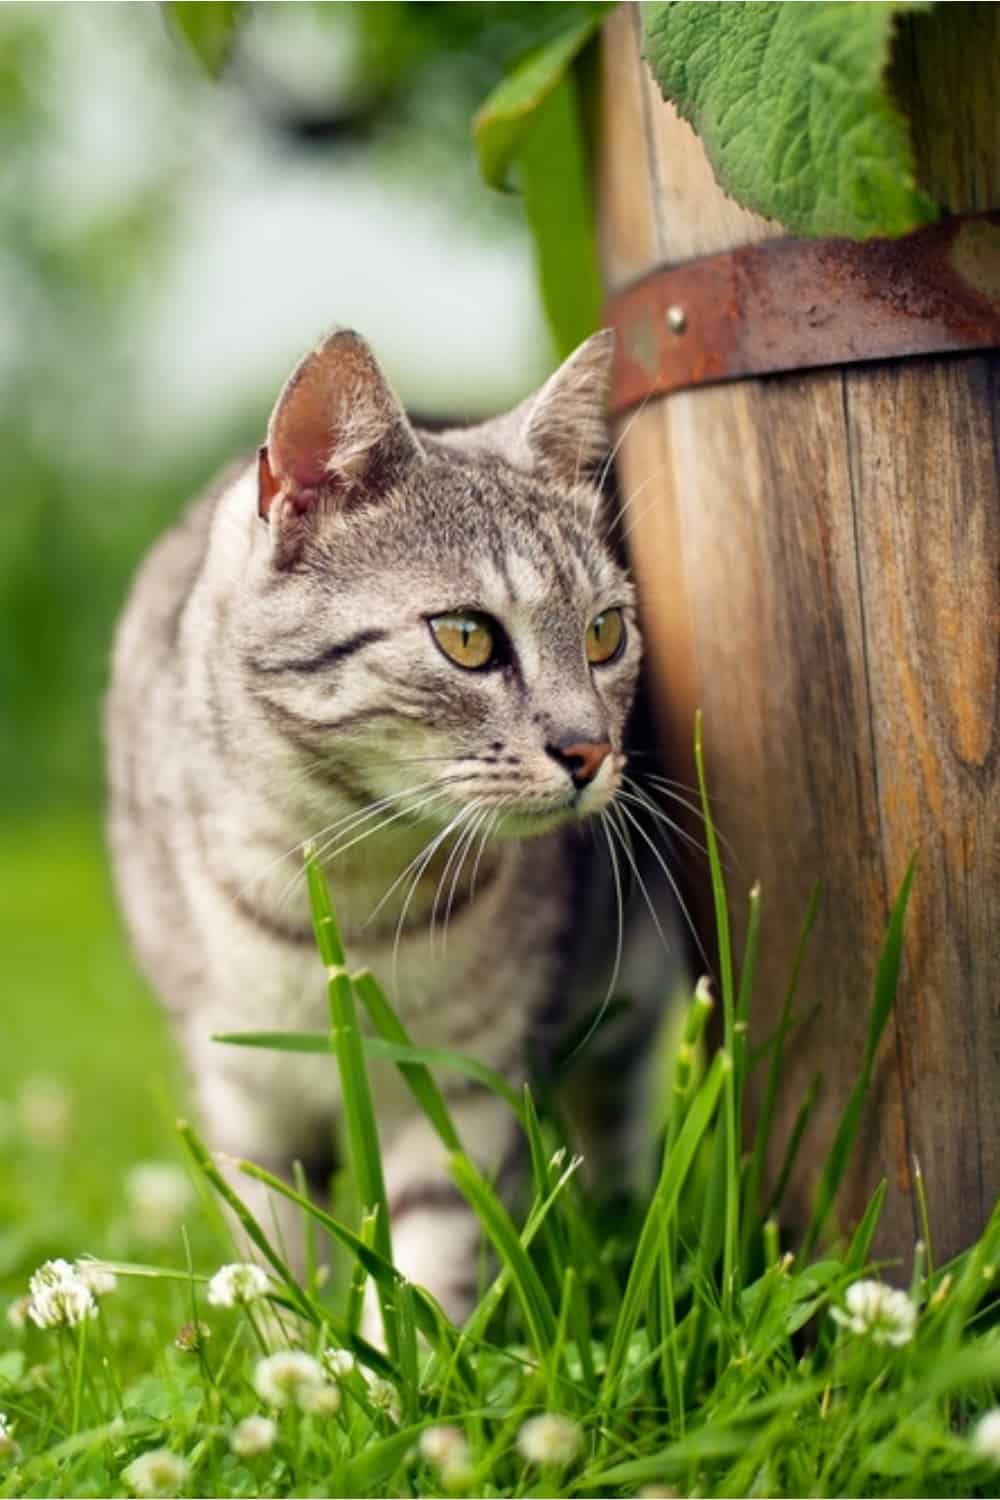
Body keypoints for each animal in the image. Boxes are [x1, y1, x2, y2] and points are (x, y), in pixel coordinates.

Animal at [107, 325, 671, 1338]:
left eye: (605, 634)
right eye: (469, 637)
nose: (592, 750)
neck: (351, 875)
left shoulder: (466, 1078)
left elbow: (432, 1243)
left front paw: (412, 1366)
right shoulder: (242, 1093)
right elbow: (272, 1262)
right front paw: (298, 1367)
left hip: (627, 997)